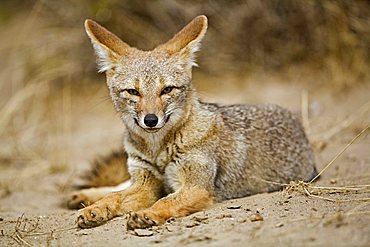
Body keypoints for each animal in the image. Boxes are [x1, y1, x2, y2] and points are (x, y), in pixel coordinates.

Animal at [68, 15, 316, 230]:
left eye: (167, 90)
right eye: (133, 92)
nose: (151, 120)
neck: (158, 151)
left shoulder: (196, 187)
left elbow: (165, 201)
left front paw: (147, 214)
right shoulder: (144, 183)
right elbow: (115, 196)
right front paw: (96, 209)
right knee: (116, 186)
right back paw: (83, 197)